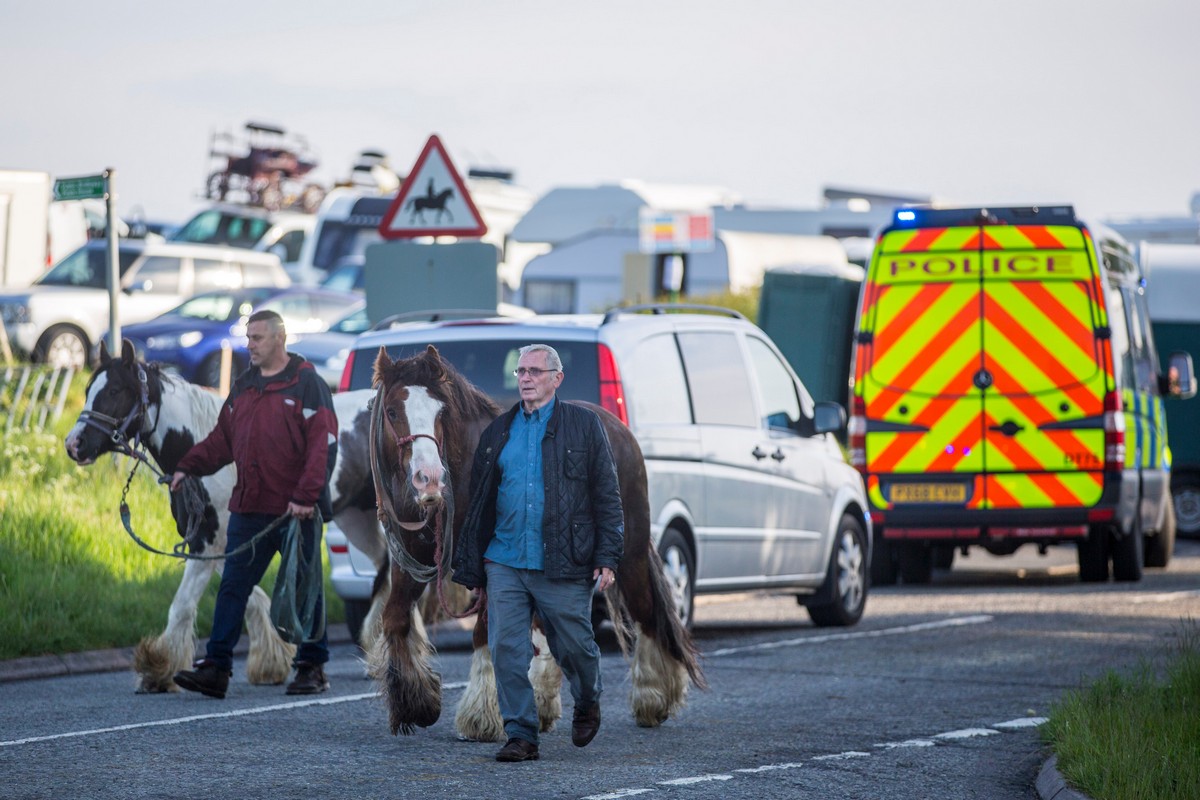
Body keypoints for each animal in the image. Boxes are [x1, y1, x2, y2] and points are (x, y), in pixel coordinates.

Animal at [367, 340, 700, 743]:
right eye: (391, 411)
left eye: (440, 411)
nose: (428, 478)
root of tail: (620, 430)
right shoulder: (411, 565)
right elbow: (394, 619)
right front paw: (414, 704)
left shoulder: (484, 568)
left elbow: (484, 633)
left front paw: (481, 715)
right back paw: (543, 703)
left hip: (630, 556)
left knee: (647, 613)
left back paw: (654, 697)